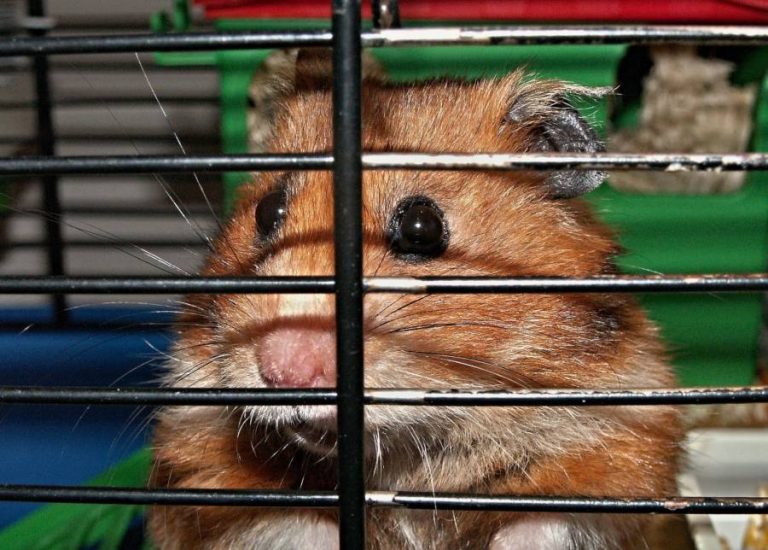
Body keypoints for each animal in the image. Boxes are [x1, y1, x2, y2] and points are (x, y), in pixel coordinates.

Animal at [148, 51, 682, 550]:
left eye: (421, 228)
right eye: (266, 211)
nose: (284, 370)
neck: (407, 449)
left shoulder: (622, 450)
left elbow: (545, 522)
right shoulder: (200, 461)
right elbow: (291, 523)